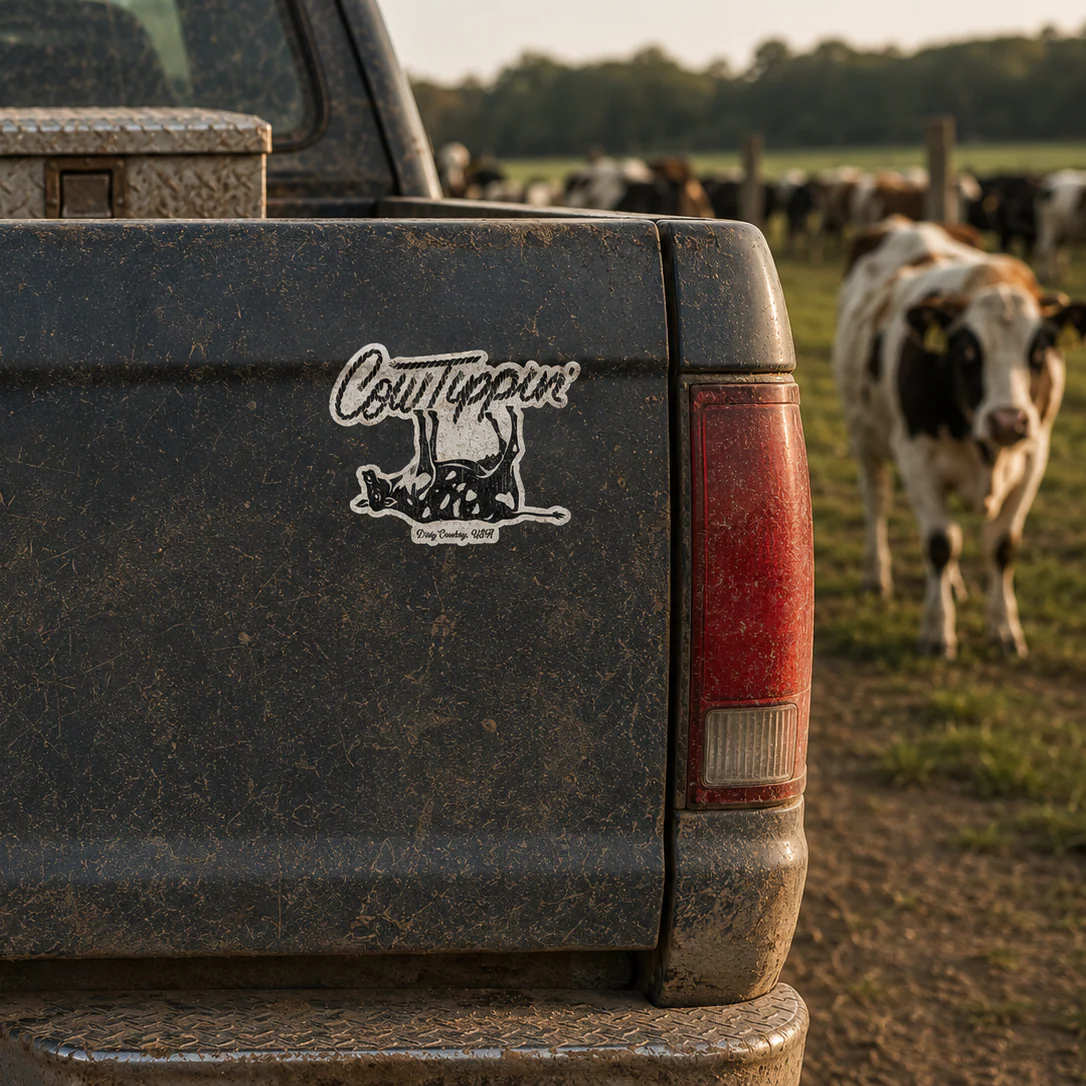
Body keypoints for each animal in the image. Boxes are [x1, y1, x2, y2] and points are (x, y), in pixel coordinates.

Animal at [833, 217, 1084, 658]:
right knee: (877, 500)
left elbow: (1001, 545)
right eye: (967, 350)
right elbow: (939, 544)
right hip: (863, 434)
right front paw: (937, 630)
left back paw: (955, 585)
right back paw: (876, 574)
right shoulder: (916, 458)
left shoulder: (1034, 458)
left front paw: (1004, 628)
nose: (1008, 420)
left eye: (1038, 351)